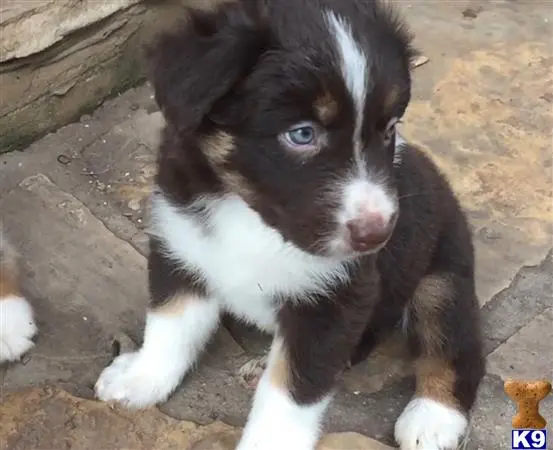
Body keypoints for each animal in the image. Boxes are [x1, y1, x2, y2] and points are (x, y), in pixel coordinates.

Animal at [95, 0, 484, 448]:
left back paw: (433, 418)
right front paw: (140, 378)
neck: (251, 218)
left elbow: (291, 390)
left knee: (455, 346)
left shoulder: (333, 298)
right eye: (302, 134)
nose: (377, 234)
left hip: (442, 277)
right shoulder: (182, 246)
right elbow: (171, 325)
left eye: (389, 129)